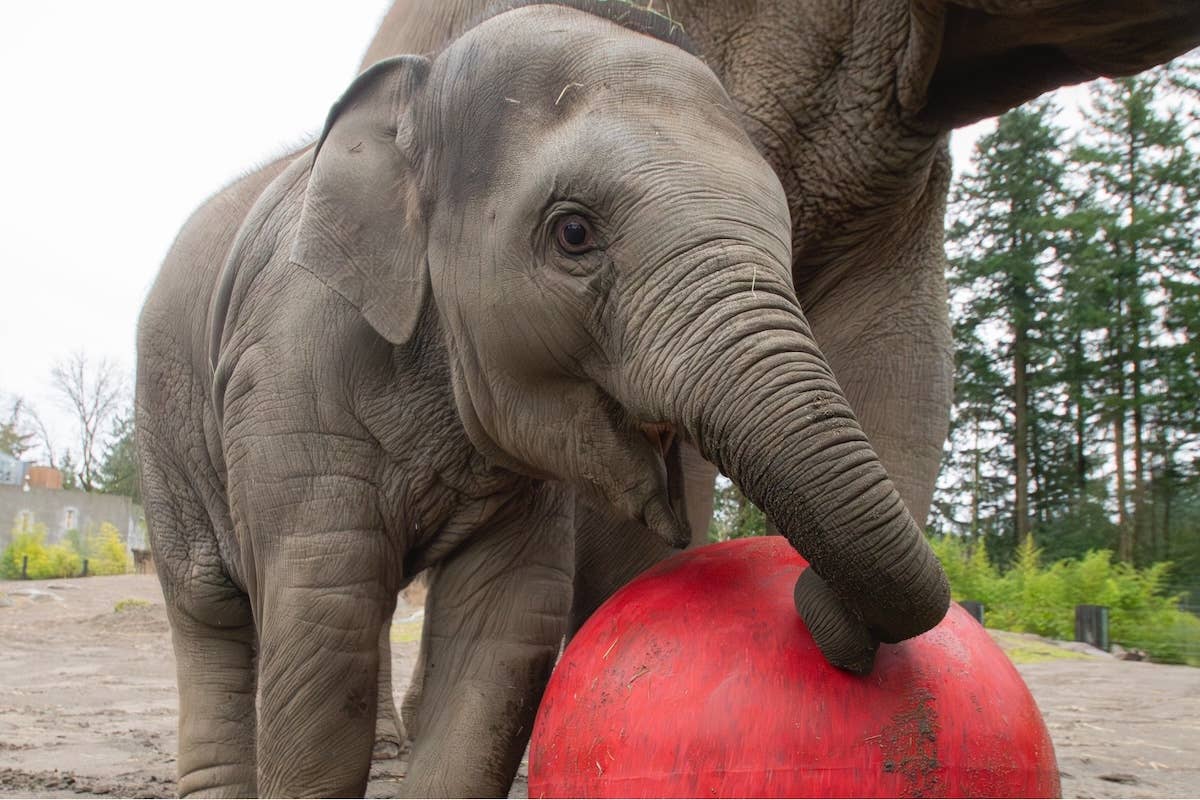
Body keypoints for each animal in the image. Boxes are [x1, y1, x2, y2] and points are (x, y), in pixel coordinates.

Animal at [136, 1, 954, 796]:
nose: (800, 592)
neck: (422, 91)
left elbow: (504, 631)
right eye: (574, 233)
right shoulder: (291, 367)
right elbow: (324, 622)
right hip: (165, 434)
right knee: (210, 614)